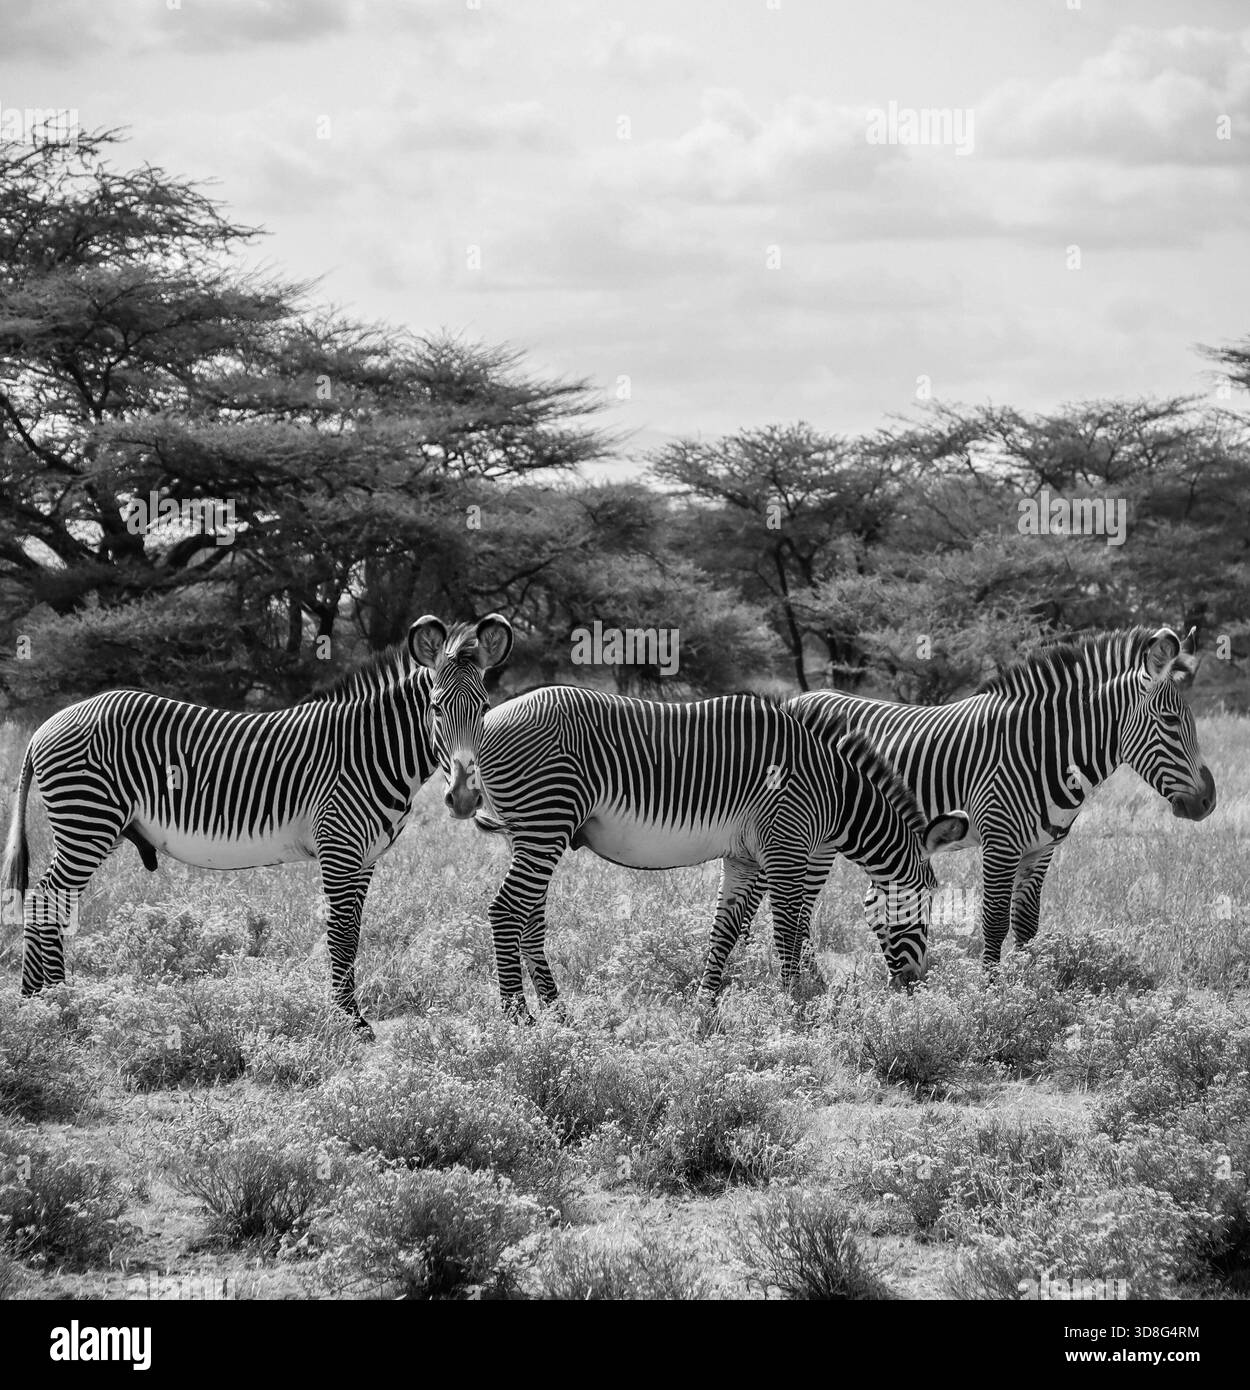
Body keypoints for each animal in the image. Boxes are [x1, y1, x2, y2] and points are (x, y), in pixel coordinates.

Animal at [1, 614, 513, 1032]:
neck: (370, 749)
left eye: (485, 706)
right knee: (46, 899)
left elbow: (354, 931)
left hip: (88, 825)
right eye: (435, 707)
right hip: (87, 820)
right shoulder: (339, 845)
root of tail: (45, 726)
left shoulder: (365, 857)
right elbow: (342, 933)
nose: (464, 798)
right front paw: (349, 1021)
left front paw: (348, 1013)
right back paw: (51, 1003)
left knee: (51, 900)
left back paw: (46, 999)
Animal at [463, 687, 969, 1019]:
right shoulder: (785, 849)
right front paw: (796, 1005)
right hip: (546, 821)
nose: (916, 987)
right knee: (506, 910)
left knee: (530, 916)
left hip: (530, 832)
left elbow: (725, 932)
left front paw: (705, 1009)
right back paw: (519, 1019)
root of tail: (487, 721)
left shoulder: (744, 858)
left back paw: (558, 1014)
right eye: (926, 900)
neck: (833, 792)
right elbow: (789, 931)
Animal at [774, 625, 1216, 965]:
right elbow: (995, 922)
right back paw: (808, 982)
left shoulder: (1041, 849)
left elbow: (1027, 925)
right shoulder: (999, 842)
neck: (1046, 751)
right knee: (799, 907)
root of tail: (796, 698)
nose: (1208, 802)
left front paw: (1030, 990)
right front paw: (992, 997)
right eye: (1170, 720)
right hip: (812, 833)